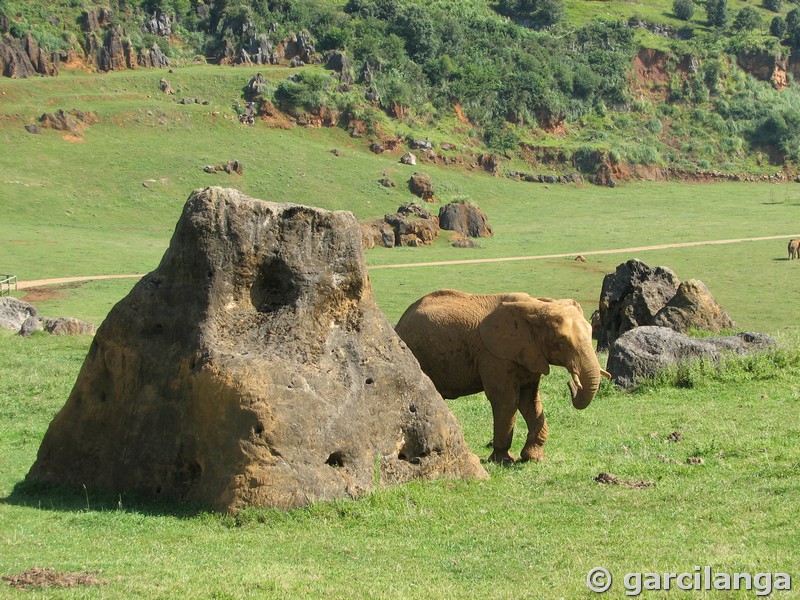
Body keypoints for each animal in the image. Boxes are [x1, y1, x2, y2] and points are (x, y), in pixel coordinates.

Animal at [396, 290, 612, 464]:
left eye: (592, 332)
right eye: (561, 341)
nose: (573, 384)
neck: (537, 306)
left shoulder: (530, 353)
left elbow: (530, 400)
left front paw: (533, 458)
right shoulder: (495, 355)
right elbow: (506, 400)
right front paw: (504, 460)